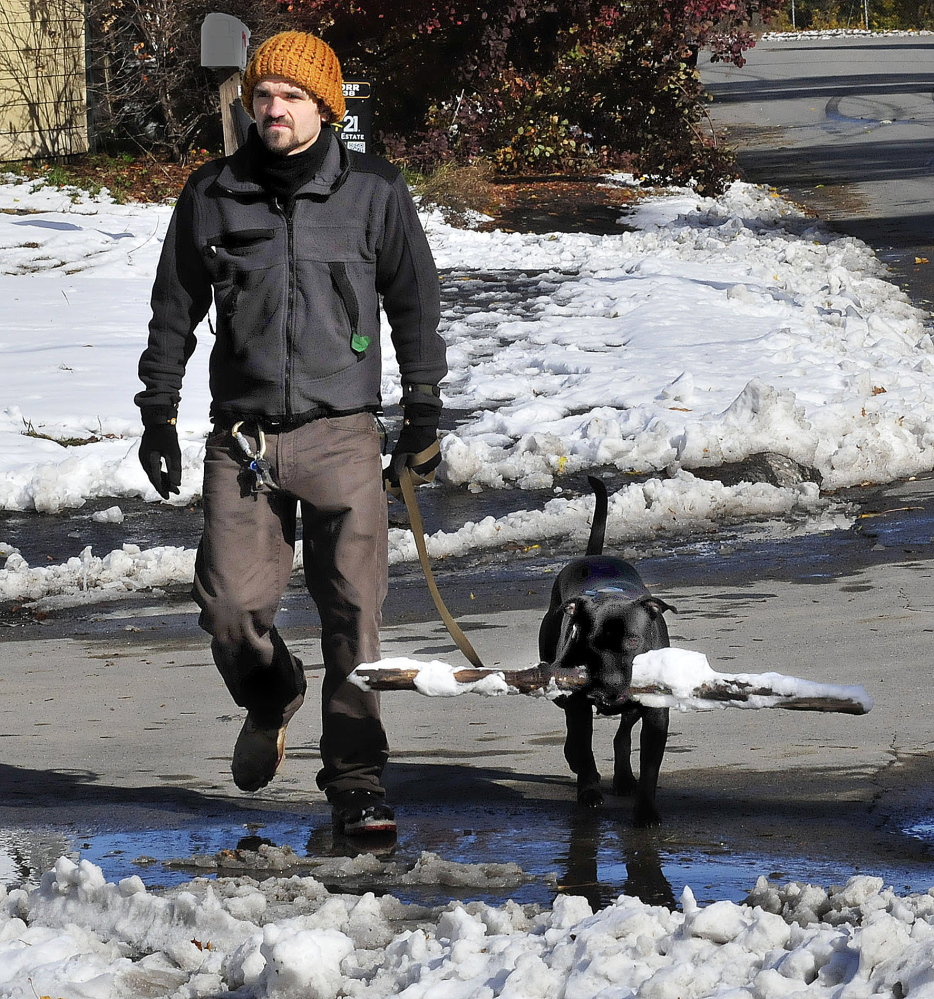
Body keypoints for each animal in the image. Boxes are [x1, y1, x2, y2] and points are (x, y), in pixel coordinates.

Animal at [536, 476, 676, 828]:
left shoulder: (656, 712)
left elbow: (650, 767)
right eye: (587, 643)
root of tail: (591, 557)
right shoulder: (577, 702)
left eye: (633, 642)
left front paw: (646, 811)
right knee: (578, 736)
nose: (609, 687)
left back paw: (624, 778)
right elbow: (583, 746)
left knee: (622, 734)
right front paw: (588, 791)